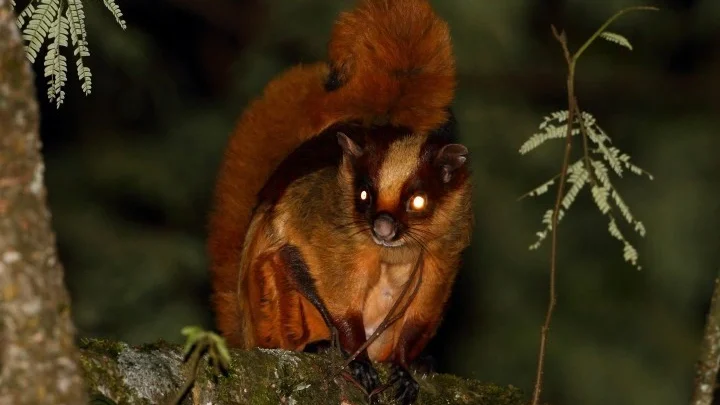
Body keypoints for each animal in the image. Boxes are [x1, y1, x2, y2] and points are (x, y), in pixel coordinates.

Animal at [207, 0, 472, 400]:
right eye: (363, 195)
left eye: (419, 202)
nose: (382, 225)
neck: (392, 251)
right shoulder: (322, 218)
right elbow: (310, 269)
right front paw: (355, 357)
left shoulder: (447, 244)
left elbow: (424, 306)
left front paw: (405, 365)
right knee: (279, 264)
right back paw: (314, 347)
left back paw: (421, 362)